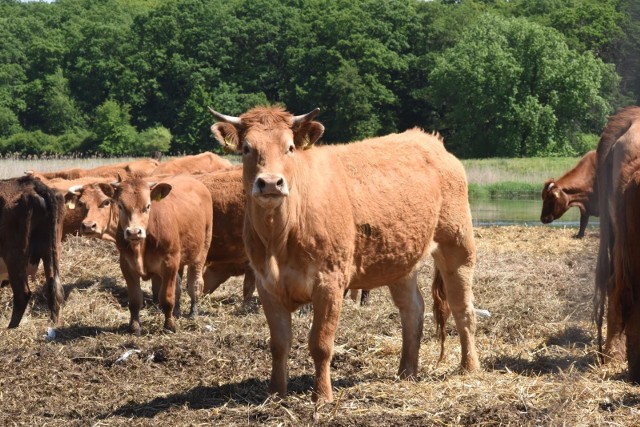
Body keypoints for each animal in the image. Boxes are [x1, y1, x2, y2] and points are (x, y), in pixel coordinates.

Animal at [0, 176, 65, 328]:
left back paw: (11, 328)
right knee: (53, 288)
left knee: (22, 294)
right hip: (51, 251)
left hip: (14, 256)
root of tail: (32, 183)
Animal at [109, 176, 210, 332]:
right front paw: (134, 327)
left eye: (148, 206)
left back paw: (193, 312)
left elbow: (167, 298)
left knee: (194, 283)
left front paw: (169, 325)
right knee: (178, 285)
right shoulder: (126, 264)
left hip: (201, 250)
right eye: (120, 206)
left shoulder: (170, 262)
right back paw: (177, 312)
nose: (134, 232)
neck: (140, 247)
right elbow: (135, 299)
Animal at [210, 105, 480, 402]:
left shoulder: (329, 282)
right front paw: (276, 394)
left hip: (457, 245)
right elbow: (279, 344)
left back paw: (469, 367)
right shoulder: (267, 284)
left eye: (290, 147)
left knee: (462, 308)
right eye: (247, 148)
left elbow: (321, 344)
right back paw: (406, 371)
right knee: (412, 310)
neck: (279, 238)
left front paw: (322, 395)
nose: (270, 183)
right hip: (400, 261)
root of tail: (430, 140)